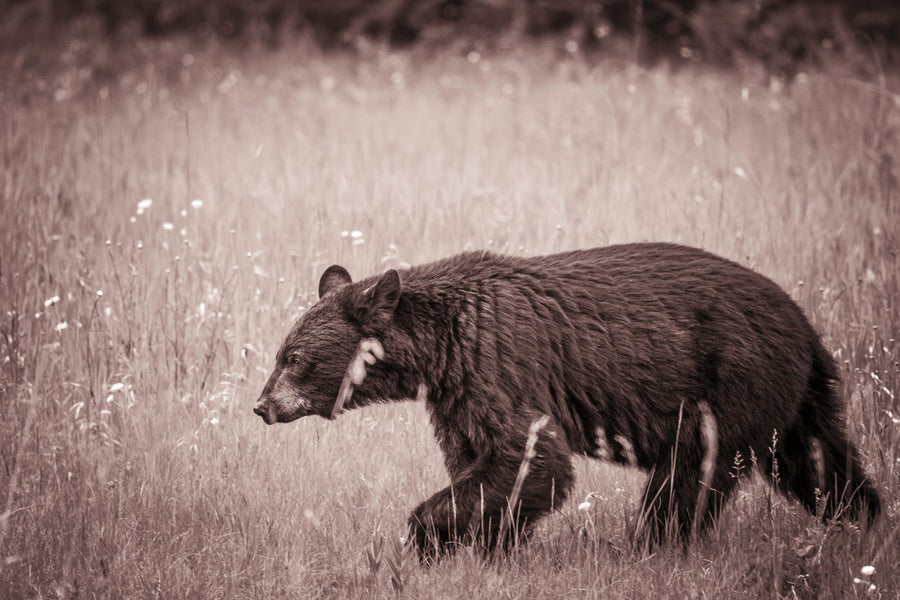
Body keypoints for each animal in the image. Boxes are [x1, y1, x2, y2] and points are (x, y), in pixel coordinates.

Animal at [253, 243, 881, 558]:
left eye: (293, 357)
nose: (262, 407)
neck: (440, 346)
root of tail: (806, 324)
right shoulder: (458, 393)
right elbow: (483, 463)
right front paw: (491, 547)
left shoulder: (499, 362)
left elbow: (532, 457)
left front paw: (429, 538)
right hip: (793, 399)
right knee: (821, 463)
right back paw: (867, 522)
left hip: (729, 383)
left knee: (689, 474)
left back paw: (650, 547)